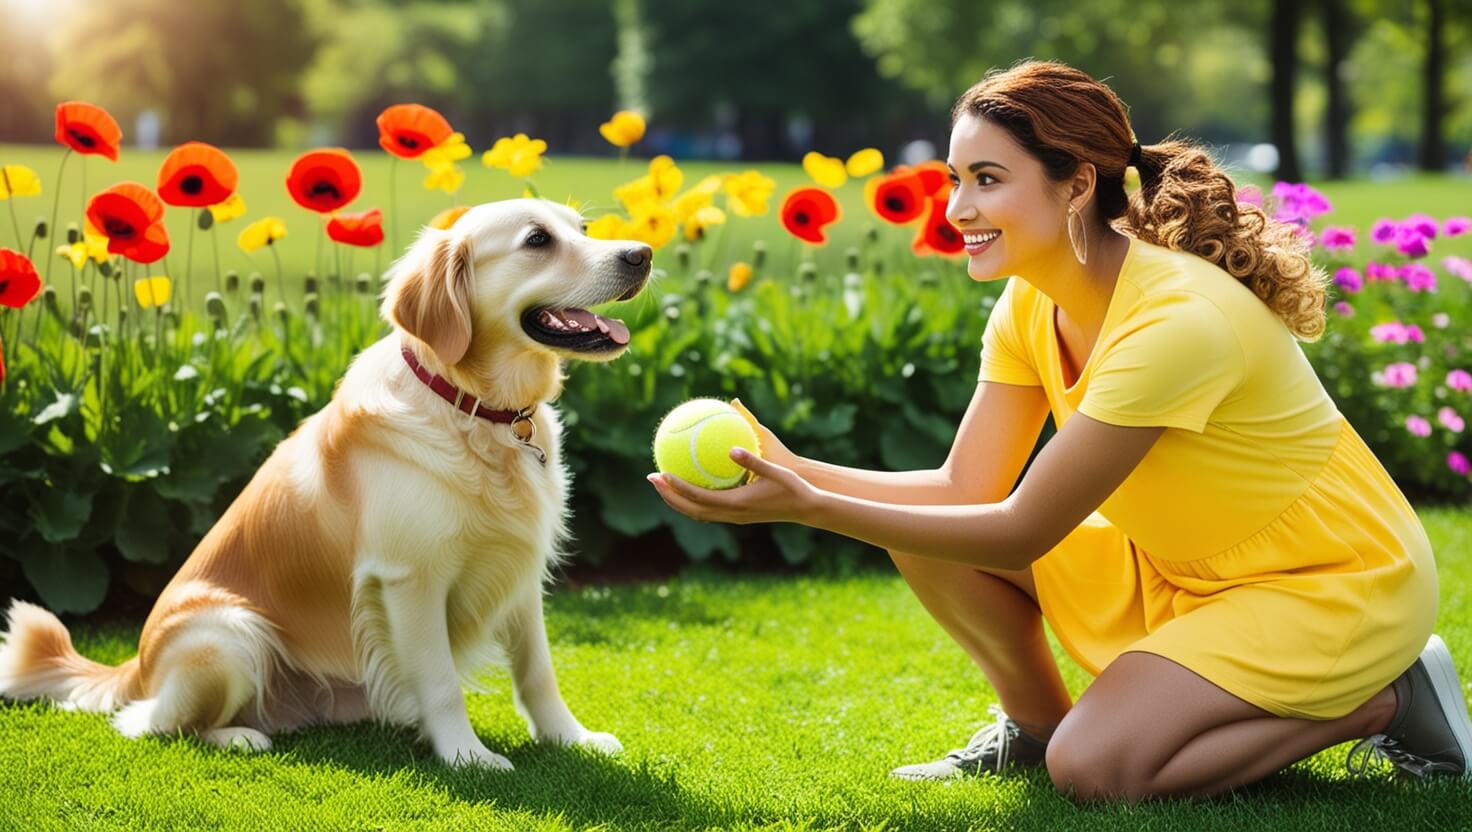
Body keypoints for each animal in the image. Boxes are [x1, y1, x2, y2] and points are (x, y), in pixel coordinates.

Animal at [0, 197, 650, 771]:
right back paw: (238, 736)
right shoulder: (409, 580)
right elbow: (441, 680)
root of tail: (135, 665)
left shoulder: (520, 571)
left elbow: (538, 672)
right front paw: (468, 757)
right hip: (230, 632)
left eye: (582, 228)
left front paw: (571, 739)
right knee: (153, 722)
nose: (641, 253)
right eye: (537, 240)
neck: (474, 408)